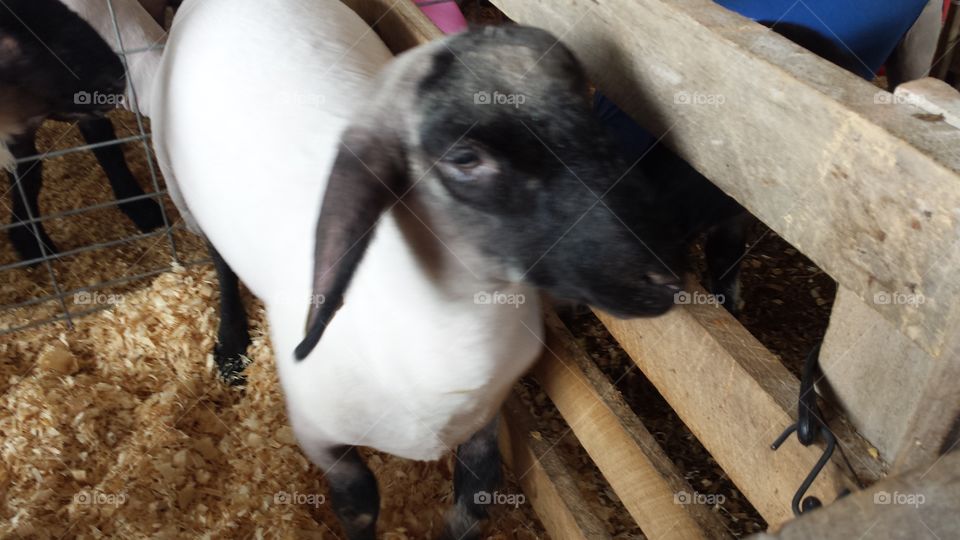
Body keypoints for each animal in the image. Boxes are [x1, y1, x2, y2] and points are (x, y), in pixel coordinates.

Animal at [152, 1, 683, 537]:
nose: (664, 277)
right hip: (179, 180)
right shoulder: (320, 438)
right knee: (218, 258)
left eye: (590, 109)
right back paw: (231, 347)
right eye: (465, 157)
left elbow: (475, 495)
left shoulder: (486, 415)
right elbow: (360, 505)